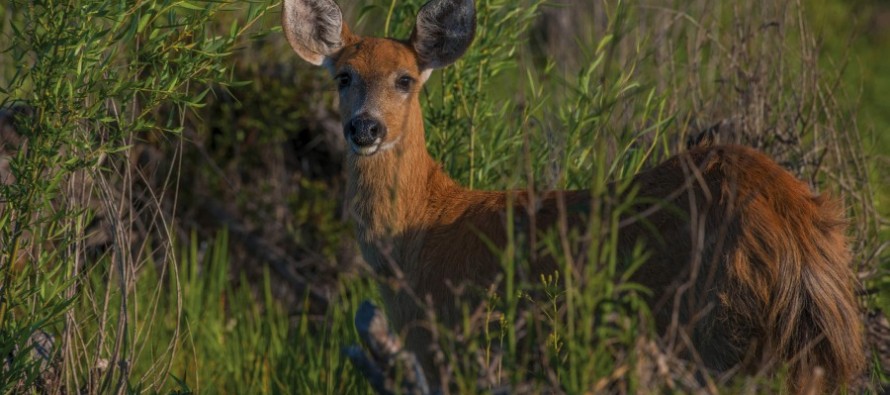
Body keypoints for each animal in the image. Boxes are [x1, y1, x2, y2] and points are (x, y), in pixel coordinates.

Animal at [280, 0, 864, 392]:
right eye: (343, 76)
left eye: (405, 79)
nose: (365, 128)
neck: (419, 234)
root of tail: (796, 235)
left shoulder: (450, 344)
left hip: (716, 331)